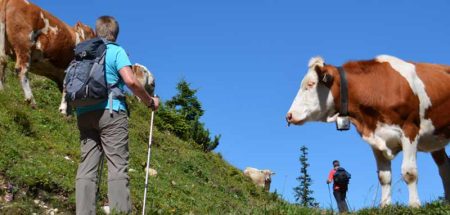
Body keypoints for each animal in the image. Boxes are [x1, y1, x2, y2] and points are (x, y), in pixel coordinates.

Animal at [288, 55, 450, 207]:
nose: (288, 116)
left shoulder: (409, 129)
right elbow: (384, 177)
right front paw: (385, 206)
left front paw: (414, 205)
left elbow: (409, 172)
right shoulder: (375, 138)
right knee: (444, 169)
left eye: (310, 84)